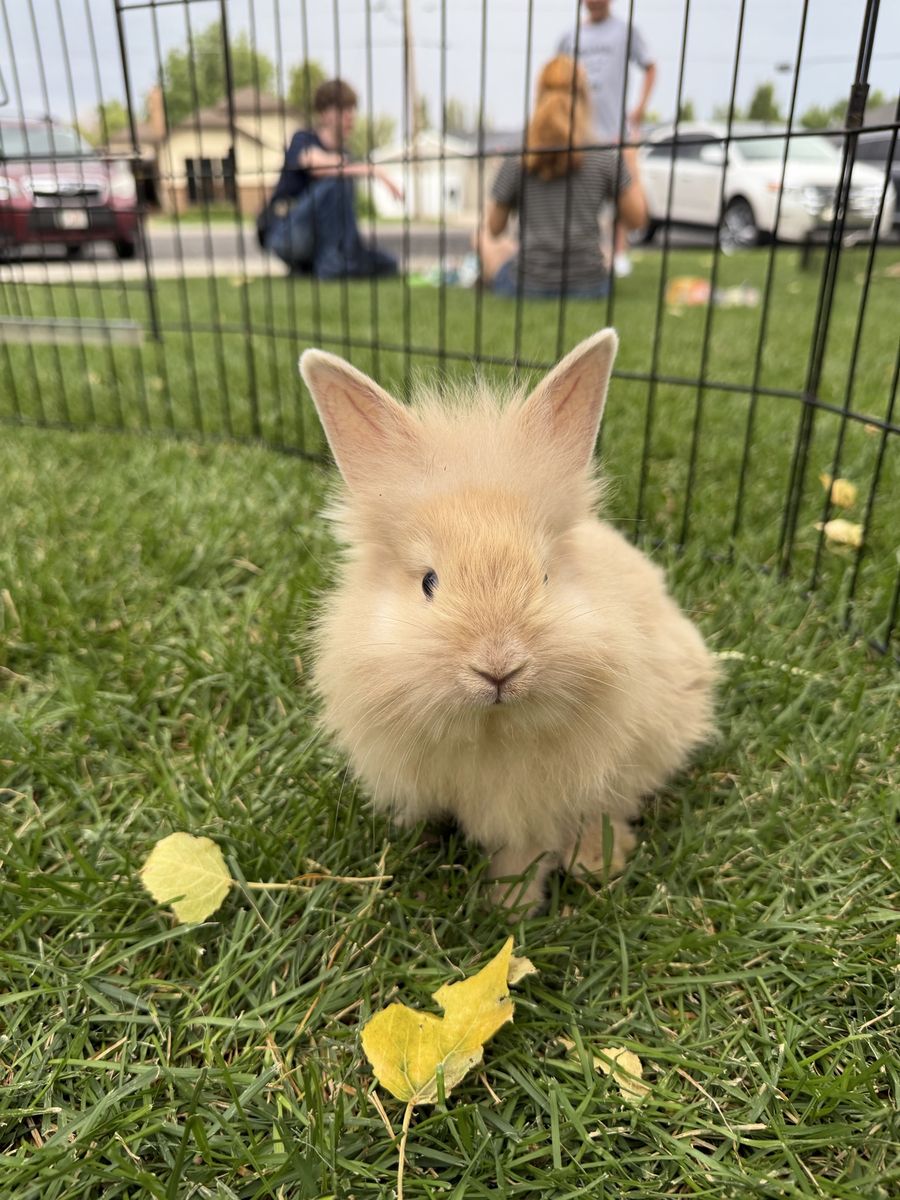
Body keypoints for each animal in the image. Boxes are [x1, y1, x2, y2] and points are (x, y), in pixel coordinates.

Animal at [299, 329, 717, 911]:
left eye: (543, 575)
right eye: (429, 582)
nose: (499, 668)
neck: (490, 728)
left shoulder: (534, 803)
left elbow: (526, 854)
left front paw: (509, 909)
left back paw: (598, 862)